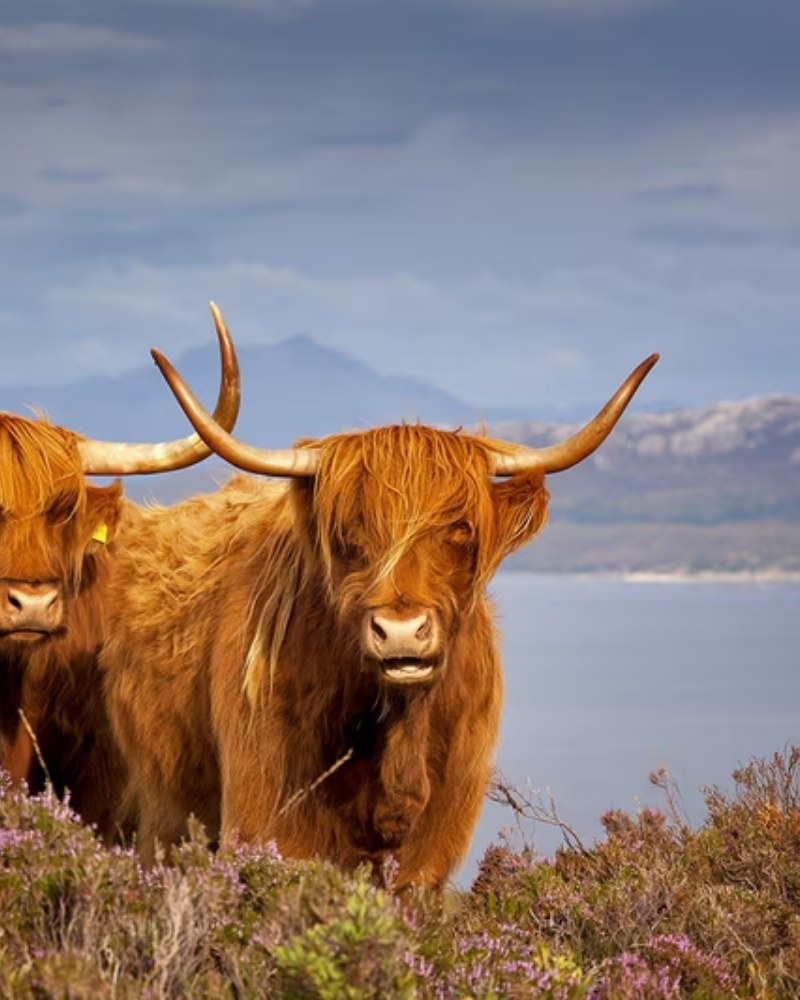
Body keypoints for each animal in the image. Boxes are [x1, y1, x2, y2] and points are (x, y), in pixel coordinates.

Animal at [102, 341, 657, 884]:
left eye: (460, 526)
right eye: (349, 530)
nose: (401, 632)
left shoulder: (432, 853)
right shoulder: (270, 821)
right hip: (163, 812)